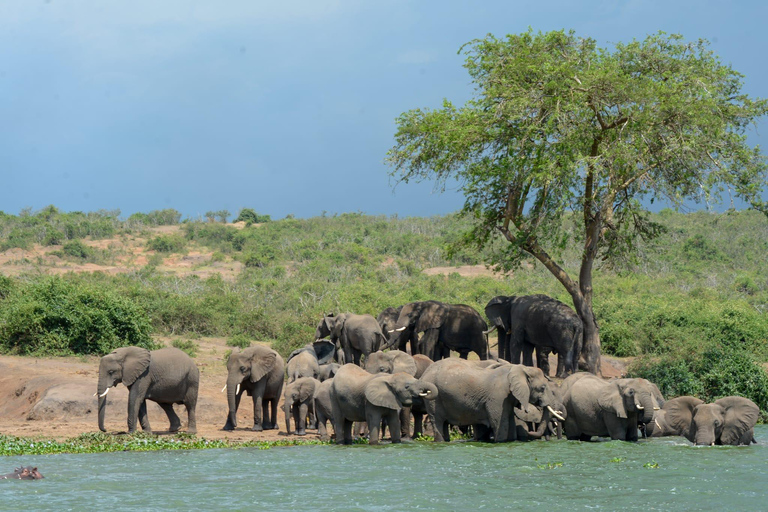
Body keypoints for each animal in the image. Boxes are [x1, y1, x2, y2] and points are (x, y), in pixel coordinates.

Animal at [420, 358, 564, 442]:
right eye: (542, 388)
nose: (530, 432)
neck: (520, 369)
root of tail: (425, 373)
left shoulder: (507, 399)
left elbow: (510, 425)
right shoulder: (498, 398)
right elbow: (501, 425)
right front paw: (500, 441)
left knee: (443, 424)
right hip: (434, 399)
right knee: (438, 421)